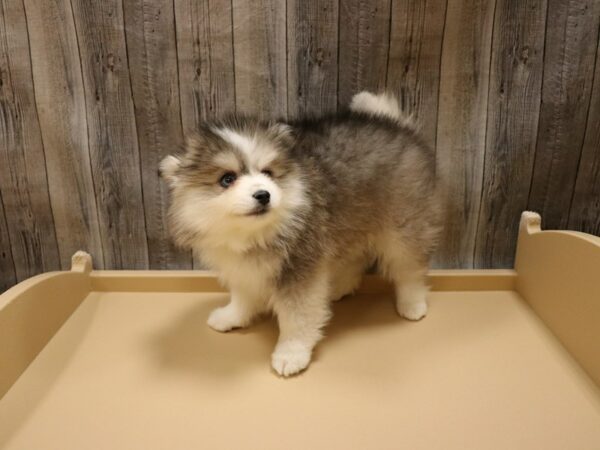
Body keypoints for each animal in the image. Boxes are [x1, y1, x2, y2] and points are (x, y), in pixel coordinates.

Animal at [159, 91, 440, 376]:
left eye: (268, 173)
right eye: (227, 179)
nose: (263, 194)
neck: (255, 234)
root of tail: (394, 123)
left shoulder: (300, 270)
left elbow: (297, 318)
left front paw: (291, 353)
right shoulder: (244, 268)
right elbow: (243, 296)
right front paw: (232, 316)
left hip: (402, 227)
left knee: (409, 269)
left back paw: (412, 303)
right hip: (349, 222)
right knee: (355, 257)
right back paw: (338, 287)